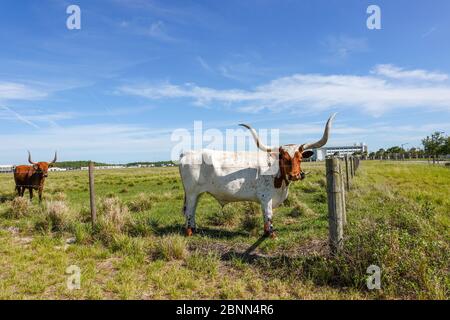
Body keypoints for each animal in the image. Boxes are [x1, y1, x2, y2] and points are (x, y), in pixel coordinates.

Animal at [178, 114, 334, 236]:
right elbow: (268, 215)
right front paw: (271, 234)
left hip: (198, 193)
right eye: (283, 158)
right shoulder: (266, 198)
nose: (295, 175)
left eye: (300, 158)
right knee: (189, 211)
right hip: (191, 193)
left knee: (193, 210)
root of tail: (186, 153)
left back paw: (195, 228)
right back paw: (189, 232)